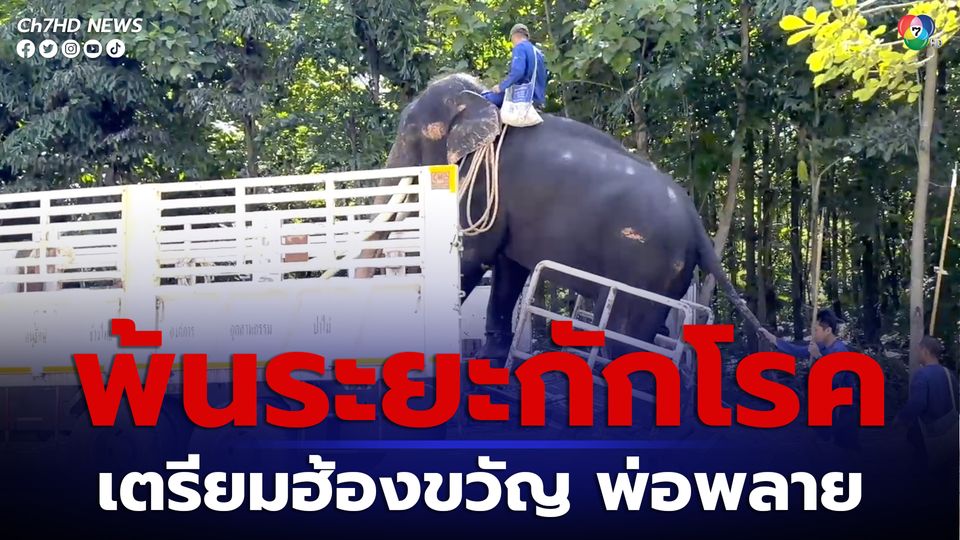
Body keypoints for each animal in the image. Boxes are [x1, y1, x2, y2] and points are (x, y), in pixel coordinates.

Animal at [356, 73, 765, 361]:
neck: (485, 101)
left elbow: (471, 257)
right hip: (669, 274)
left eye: (409, 134)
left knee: (622, 333)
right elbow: (506, 270)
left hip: (644, 266)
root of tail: (697, 226)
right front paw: (489, 365)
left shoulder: (481, 186)